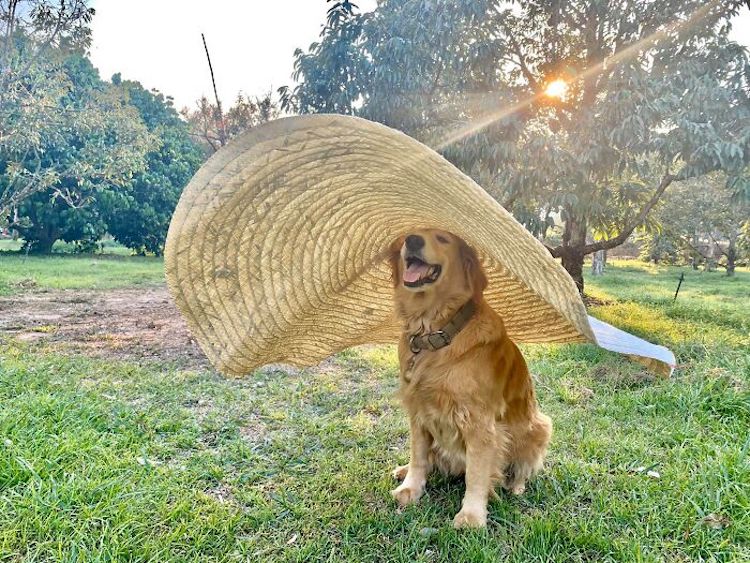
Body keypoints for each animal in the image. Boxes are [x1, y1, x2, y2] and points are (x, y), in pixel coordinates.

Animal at [388, 228, 552, 528]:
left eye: (443, 238)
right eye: (411, 233)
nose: (412, 240)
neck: (434, 335)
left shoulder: (479, 422)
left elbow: (476, 473)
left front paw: (472, 515)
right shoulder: (418, 411)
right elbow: (418, 456)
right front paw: (411, 487)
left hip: (541, 426)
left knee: (523, 466)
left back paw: (516, 486)